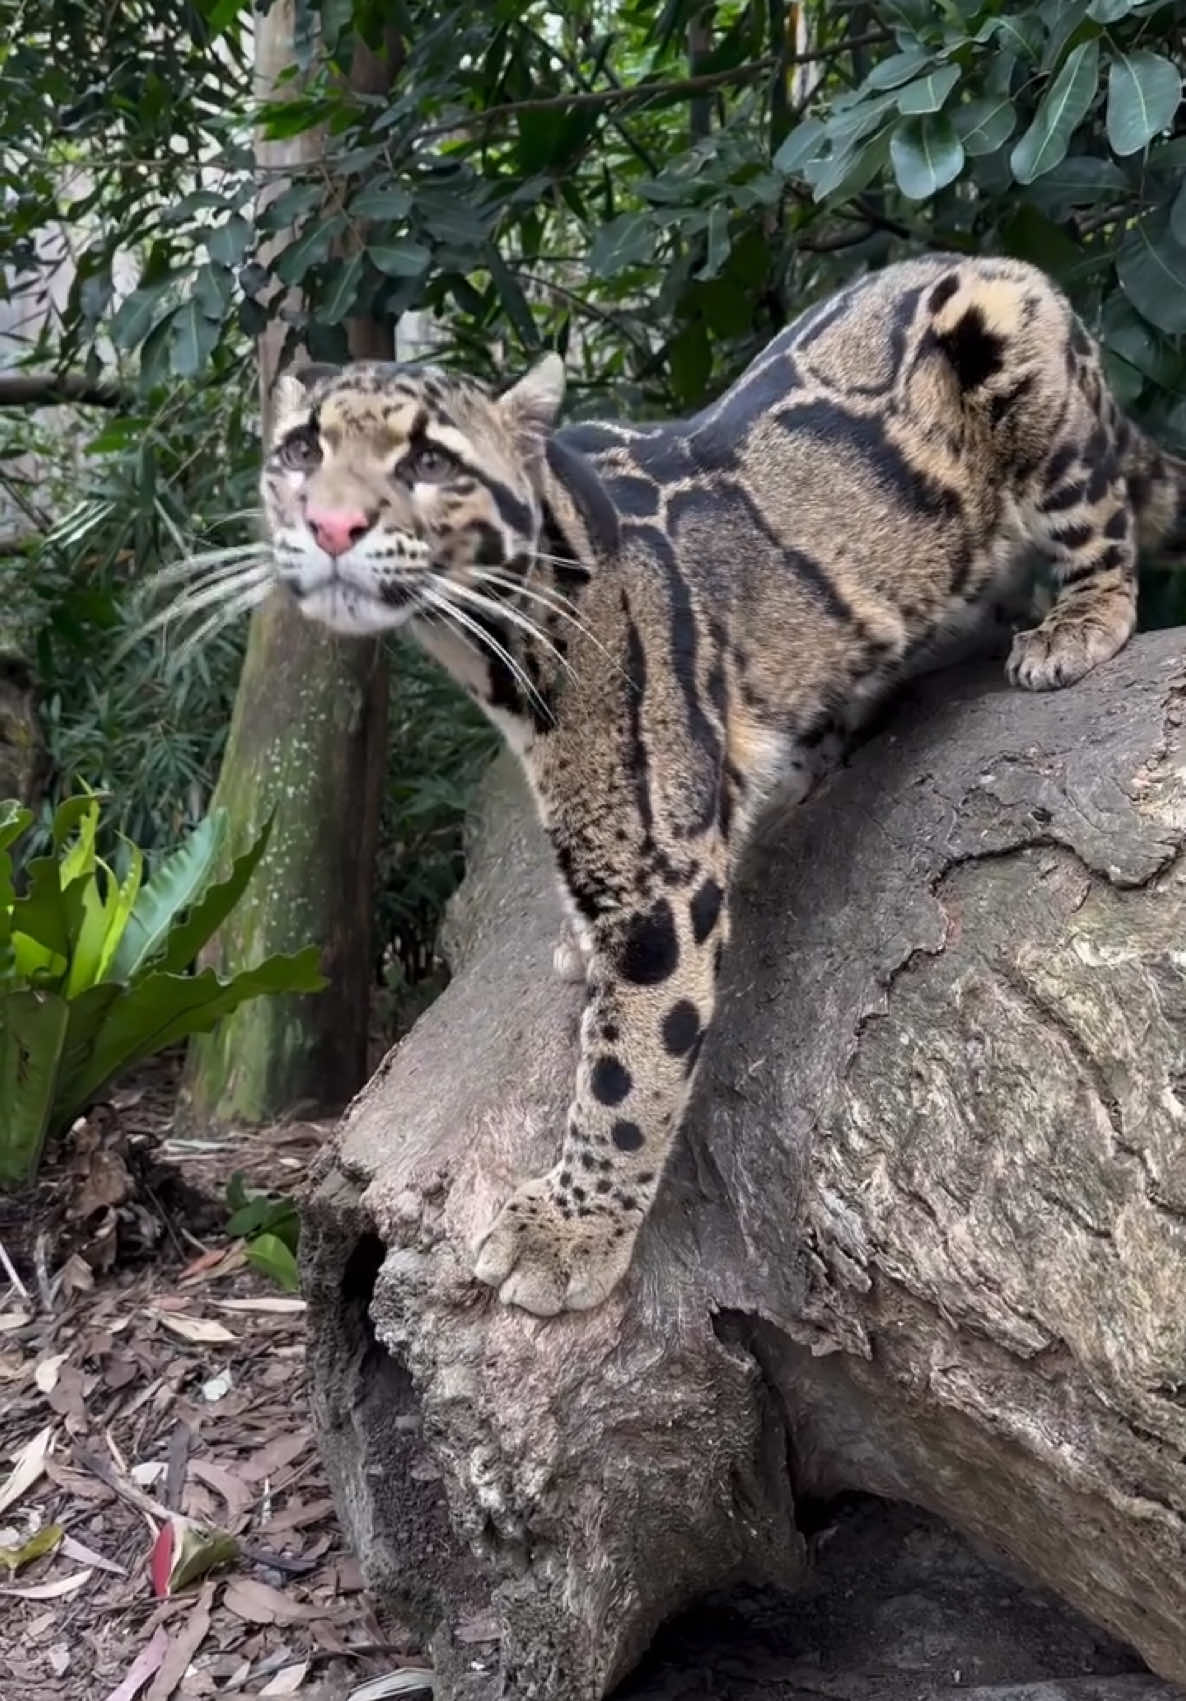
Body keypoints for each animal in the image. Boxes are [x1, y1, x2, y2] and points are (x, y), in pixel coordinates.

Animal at [259, 252, 1186, 1319]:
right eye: (297, 450)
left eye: (430, 462)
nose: (329, 524)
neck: (490, 651)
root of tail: (968, 259)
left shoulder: (659, 878)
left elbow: (629, 1072)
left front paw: (569, 1230)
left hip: (1011, 342)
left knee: (1101, 520)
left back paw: (1079, 620)